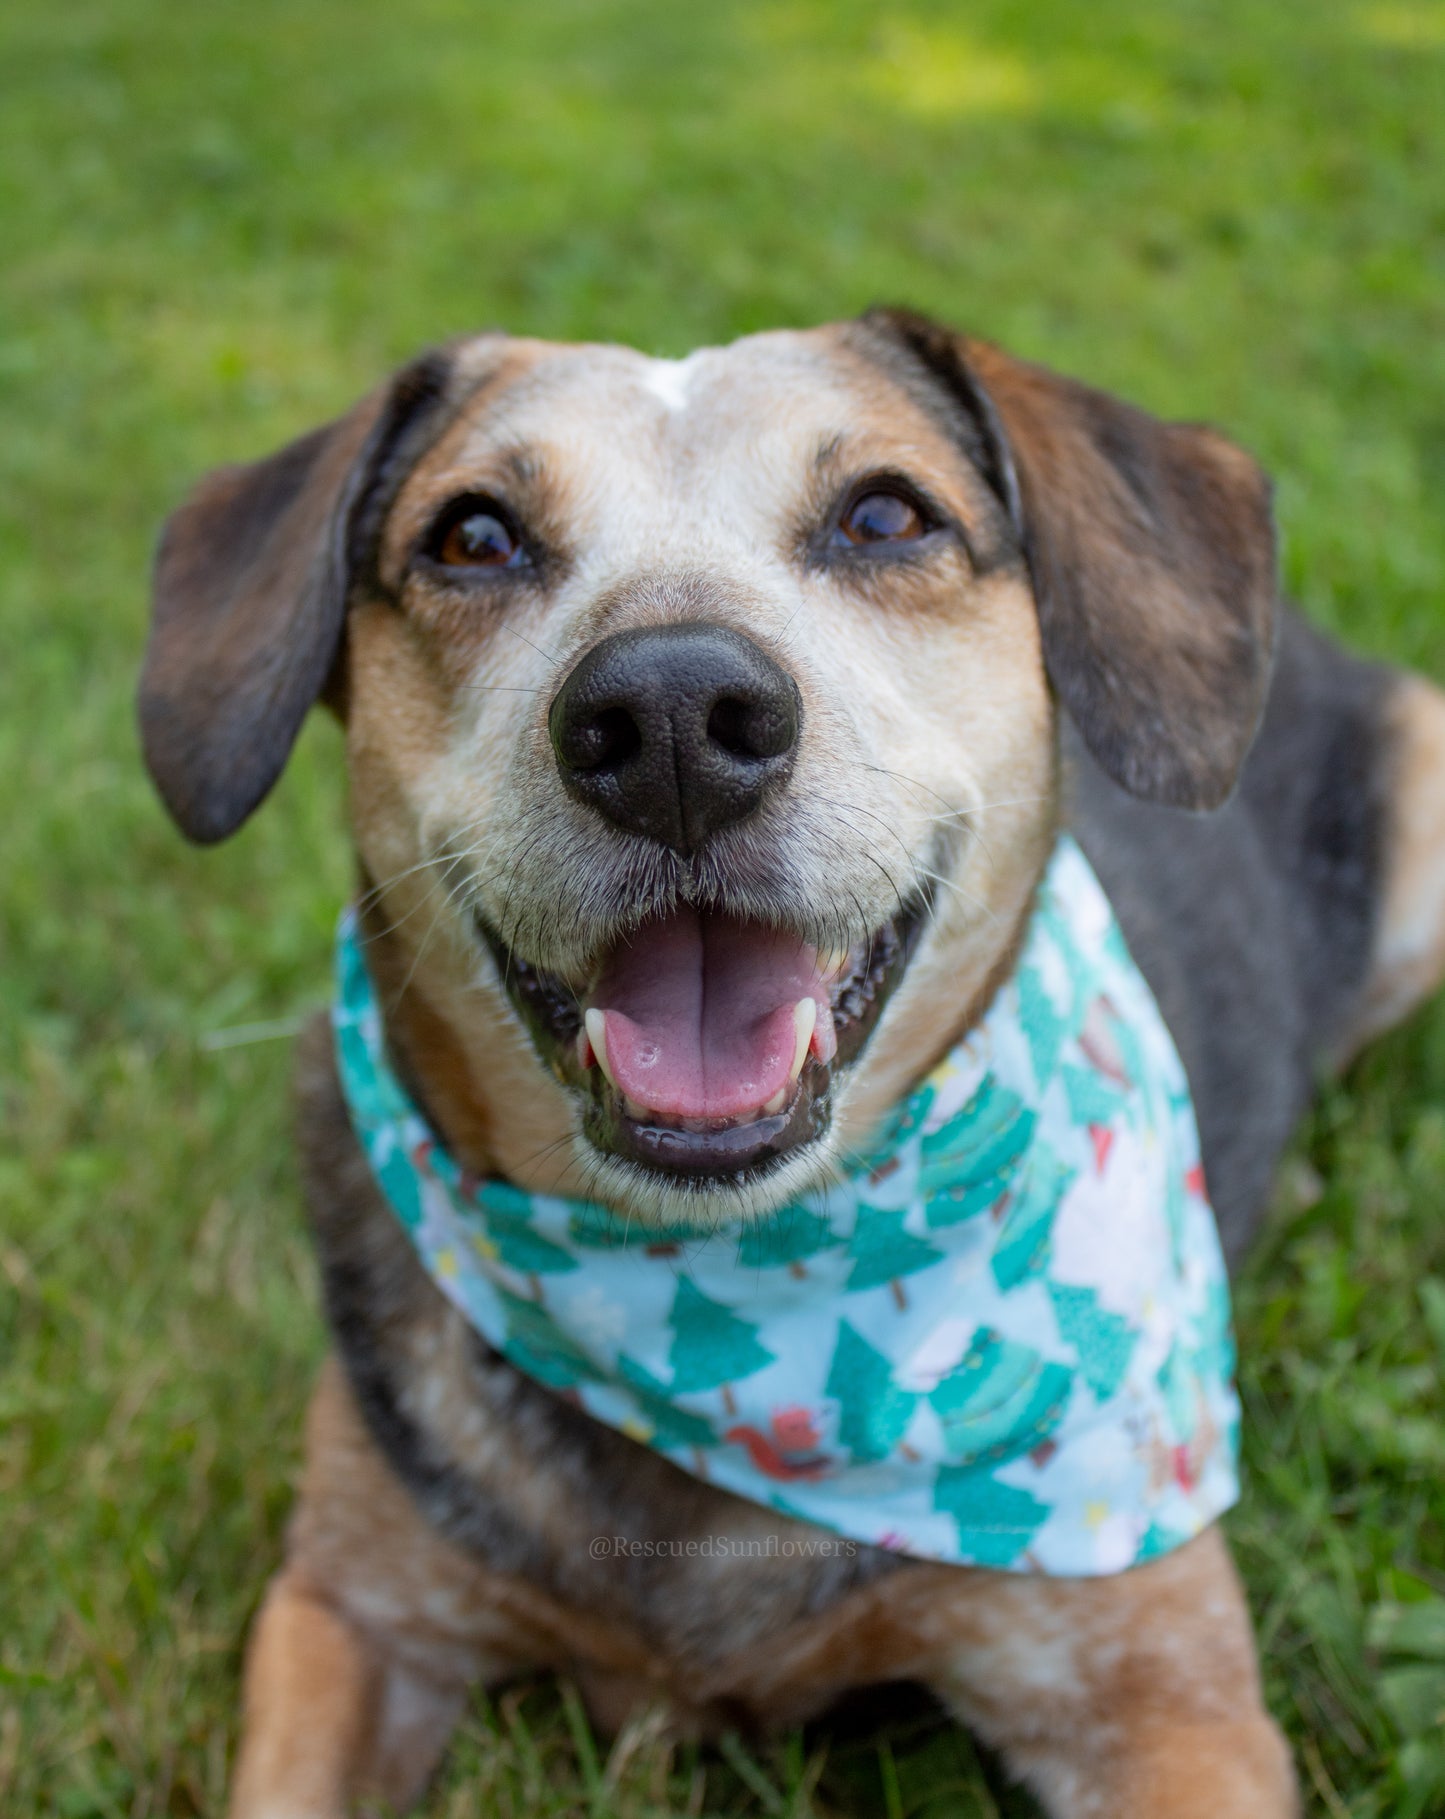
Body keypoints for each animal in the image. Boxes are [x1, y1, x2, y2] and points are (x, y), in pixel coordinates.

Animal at [134, 305, 1441, 1811]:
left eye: (884, 514)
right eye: (472, 536)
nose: (670, 716)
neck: (730, 1268)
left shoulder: (1165, 1703)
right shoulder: (345, 1612)